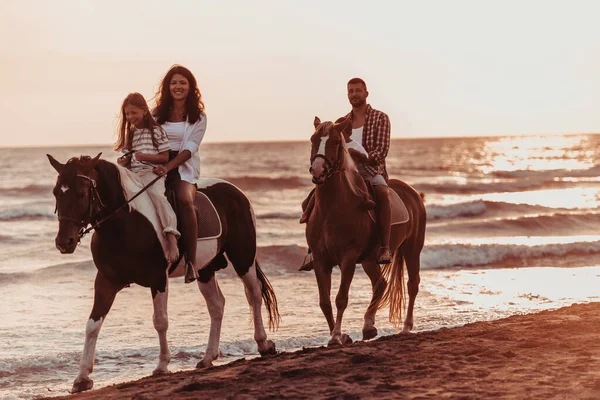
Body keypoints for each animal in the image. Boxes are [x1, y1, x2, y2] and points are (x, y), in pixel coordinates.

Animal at [48, 154, 280, 394]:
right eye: (56, 192)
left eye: (82, 193)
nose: (64, 242)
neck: (126, 224)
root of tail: (236, 191)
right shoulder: (106, 281)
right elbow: (92, 325)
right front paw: (82, 378)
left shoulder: (158, 278)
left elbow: (160, 321)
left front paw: (162, 365)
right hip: (204, 269)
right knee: (217, 305)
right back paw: (208, 357)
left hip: (243, 257)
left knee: (254, 293)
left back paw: (263, 343)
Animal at [310, 117, 426, 346]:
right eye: (313, 139)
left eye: (335, 141)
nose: (318, 171)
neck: (330, 210)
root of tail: (414, 194)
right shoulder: (320, 260)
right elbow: (324, 302)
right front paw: (339, 335)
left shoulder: (348, 258)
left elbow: (341, 298)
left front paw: (336, 335)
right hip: (370, 260)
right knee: (380, 285)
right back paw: (368, 326)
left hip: (412, 249)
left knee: (412, 284)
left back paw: (406, 327)